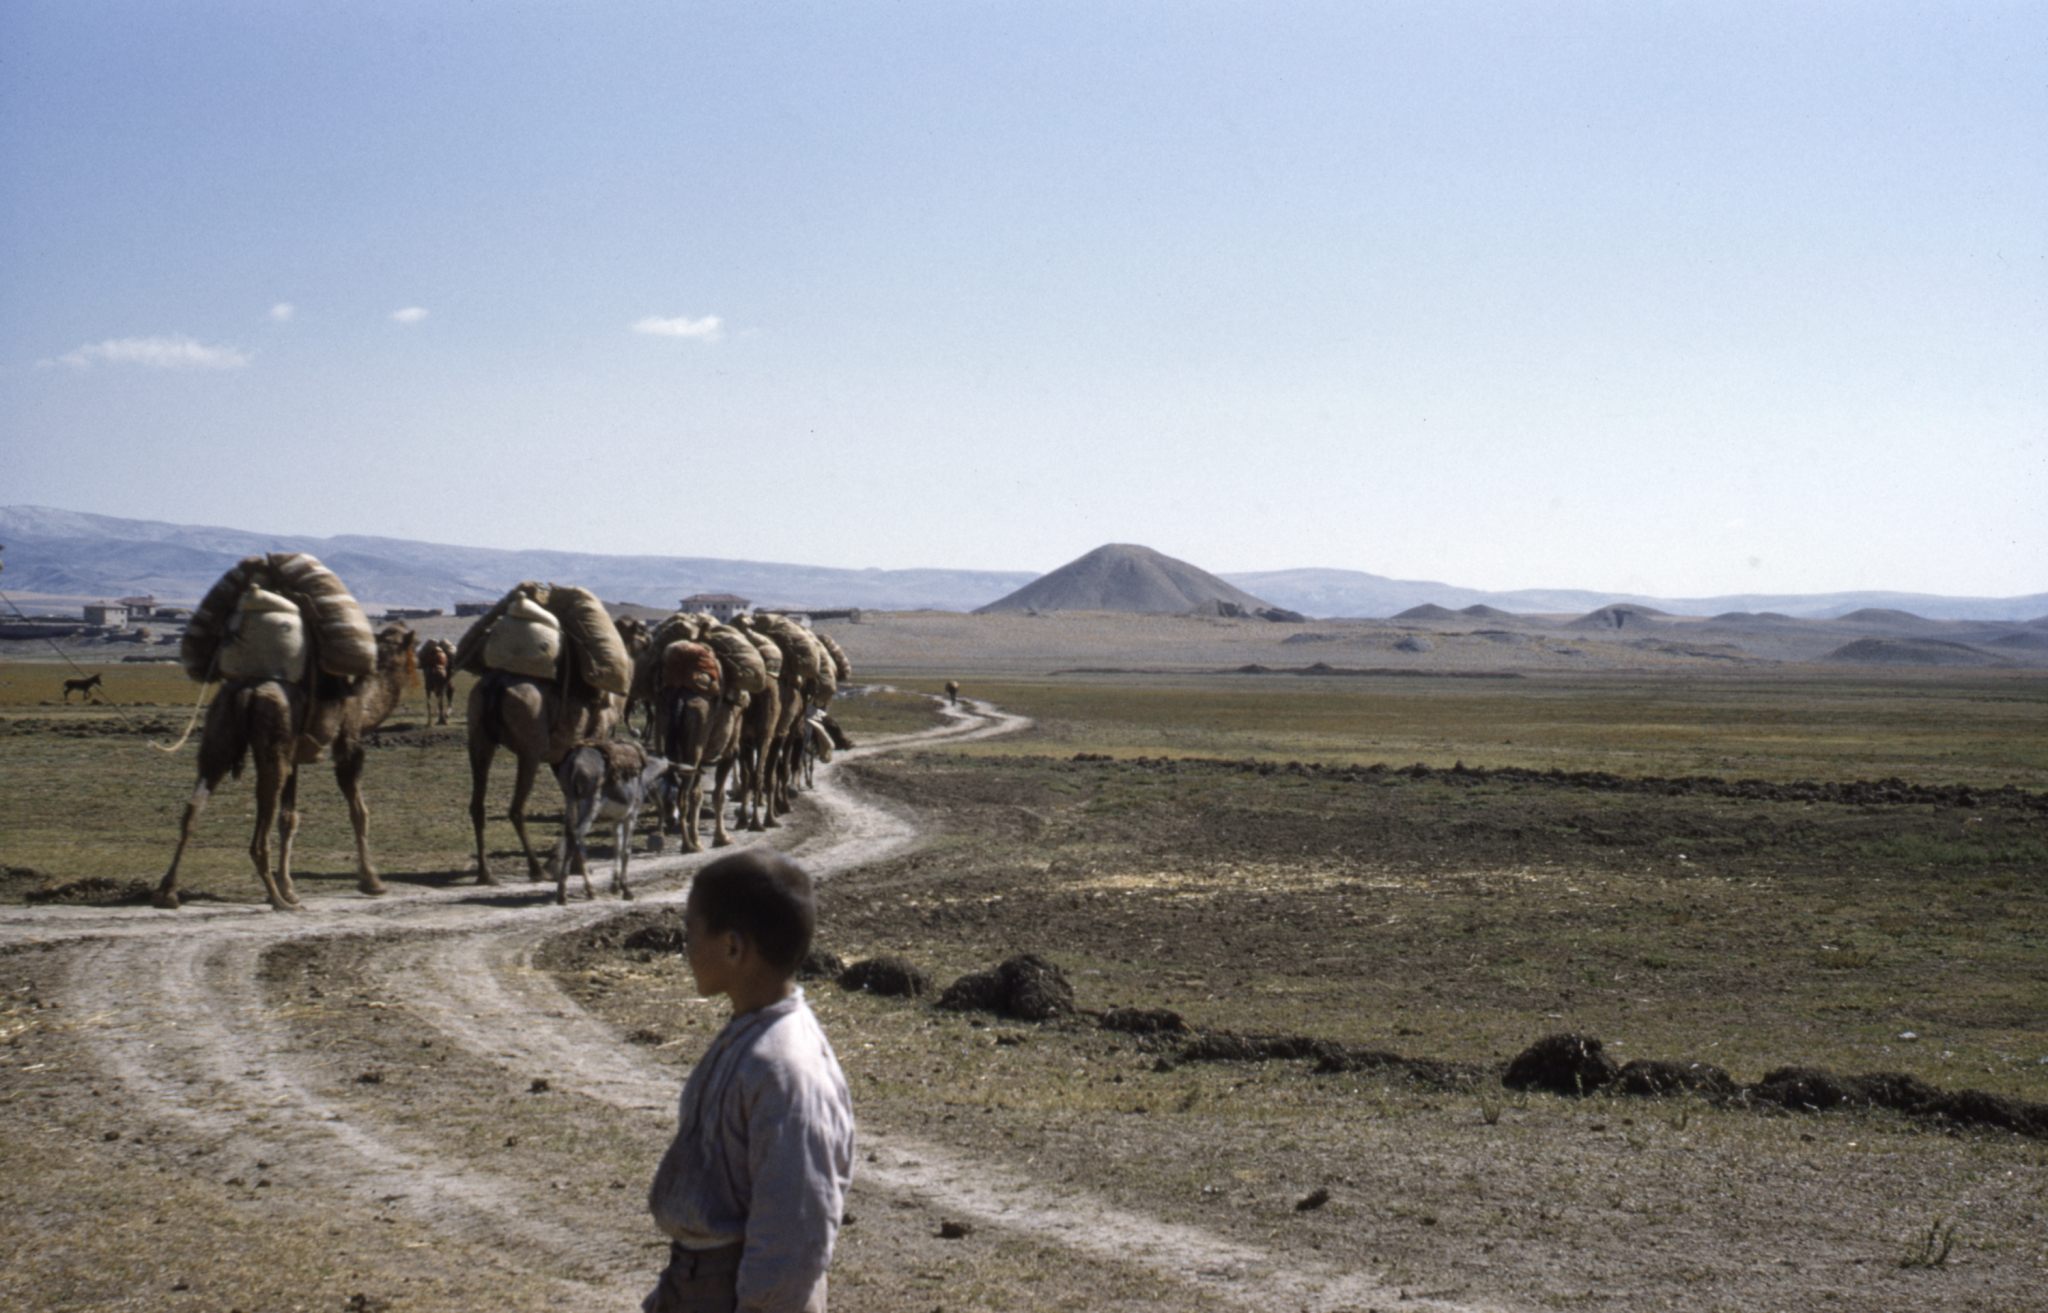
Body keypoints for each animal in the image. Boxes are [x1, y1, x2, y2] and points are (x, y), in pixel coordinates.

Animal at [156, 618, 423, 905]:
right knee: (261, 822)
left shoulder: (293, 759)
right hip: (273, 742)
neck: (365, 702)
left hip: (220, 732)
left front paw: (289, 888)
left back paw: (168, 891)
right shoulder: (348, 745)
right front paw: (372, 882)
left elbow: (289, 819)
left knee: (194, 806)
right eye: (413, 646)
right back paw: (276, 899)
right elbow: (359, 812)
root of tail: (247, 693)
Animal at [468, 663, 618, 880]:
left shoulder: (561, 757)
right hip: (530, 752)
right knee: (516, 809)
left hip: (479, 740)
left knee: (477, 806)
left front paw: (573, 865)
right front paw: (577, 866)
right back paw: (536, 869)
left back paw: (486, 874)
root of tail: (495, 687)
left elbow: (572, 806)